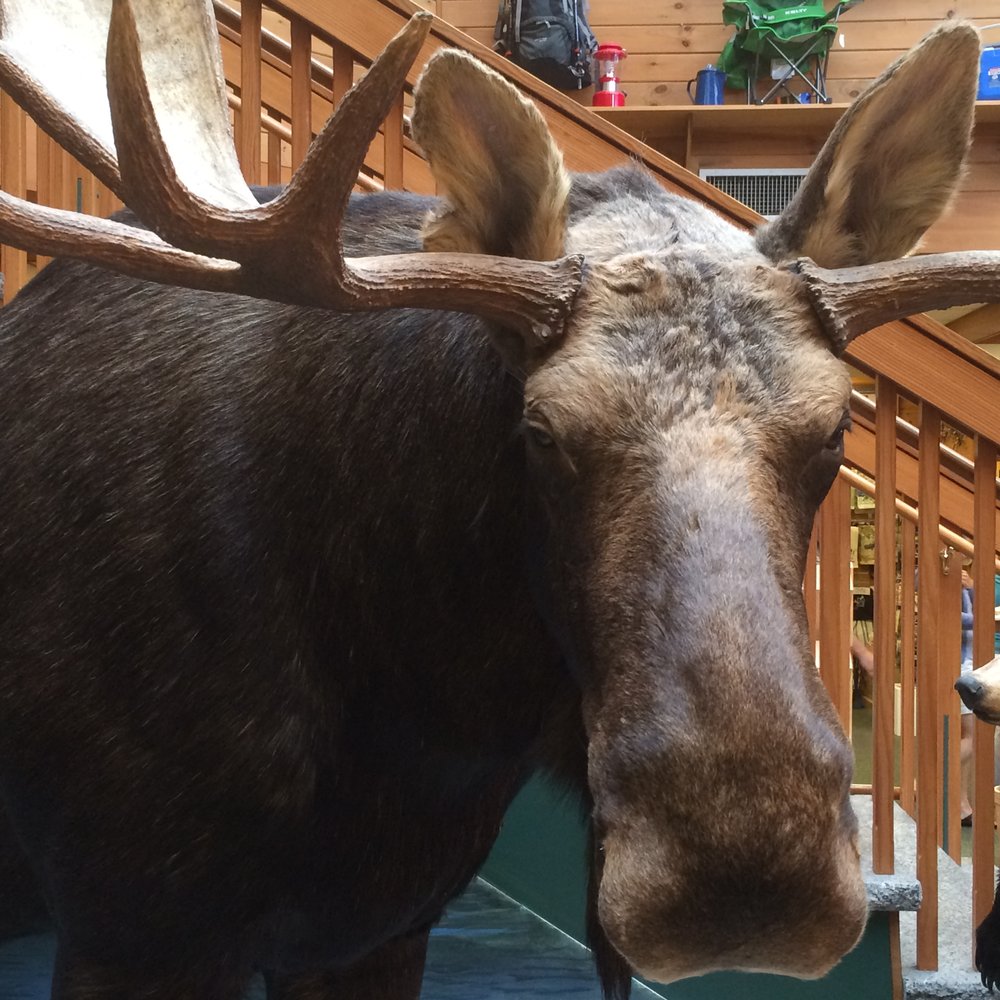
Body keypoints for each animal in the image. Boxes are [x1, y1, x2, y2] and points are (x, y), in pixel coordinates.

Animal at [1, 1, 999, 998]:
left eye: (834, 428)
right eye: (541, 430)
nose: (746, 876)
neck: (421, 710)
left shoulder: (376, 924)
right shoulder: (134, 922)